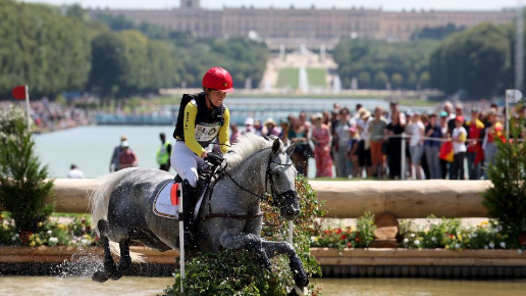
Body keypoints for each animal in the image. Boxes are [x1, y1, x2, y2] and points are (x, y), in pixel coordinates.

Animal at [89, 135, 310, 296]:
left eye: (295, 173)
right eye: (277, 174)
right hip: (121, 227)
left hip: (148, 236)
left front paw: (300, 281)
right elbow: (255, 242)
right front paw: (264, 261)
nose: (292, 210)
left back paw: (118, 268)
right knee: (103, 228)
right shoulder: (225, 242)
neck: (239, 195)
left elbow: (285, 246)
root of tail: (125, 176)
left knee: (124, 246)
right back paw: (106, 269)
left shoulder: (241, 242)